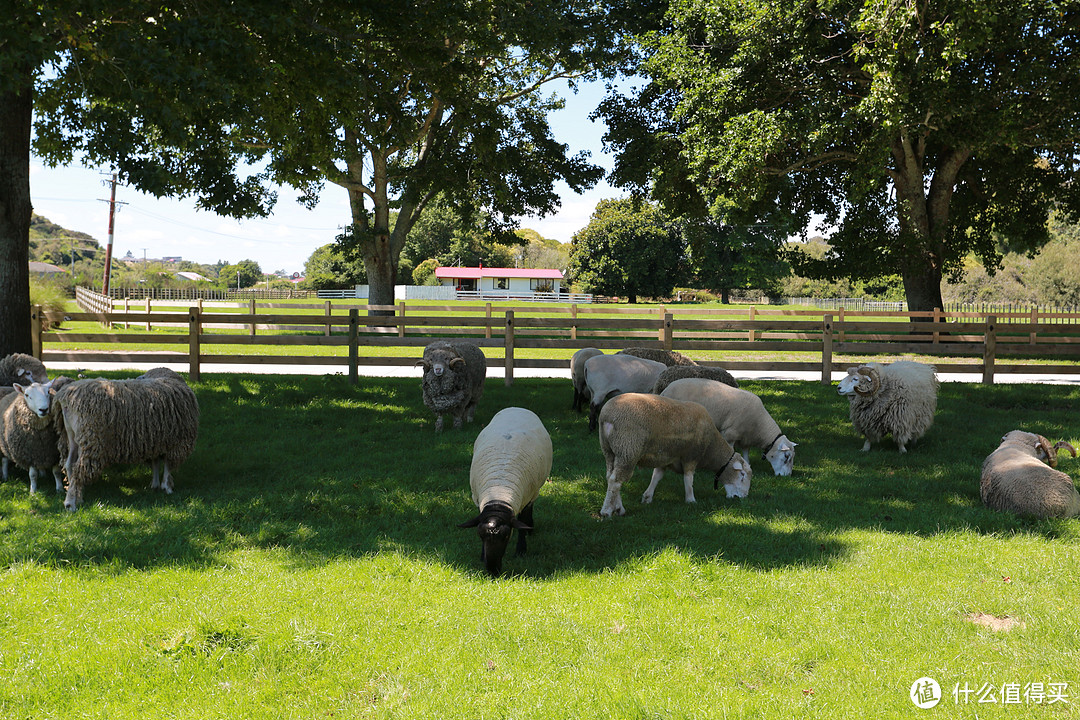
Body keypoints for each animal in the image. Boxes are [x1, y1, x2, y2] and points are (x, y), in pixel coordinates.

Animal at [50, 367, 199, 511]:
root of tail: (65, 397)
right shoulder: (176, 442)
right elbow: (168, 466)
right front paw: (167, 487)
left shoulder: (155, 440)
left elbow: (156, 462)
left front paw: (155, 485)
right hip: (91, 439)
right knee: (78, 468)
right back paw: (70, 503)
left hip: (70, 435)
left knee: (69, 464)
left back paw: (77, 497)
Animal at [457, 408, 552, 578]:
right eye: (480, 535)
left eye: (507, 536)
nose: (493, 571)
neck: (499, 491)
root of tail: (517, 408)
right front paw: (482, 556)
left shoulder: (526, 498)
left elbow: (522, 522)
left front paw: (521, 550)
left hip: (535, 491)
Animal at [596, 395, 756, 518]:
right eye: (742, 475)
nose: (742, 498)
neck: (710, 446)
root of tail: (606, 416)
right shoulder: (691, 456)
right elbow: (688, 479)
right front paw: (691, 500)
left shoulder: (665, 458)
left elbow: (656, 477)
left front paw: (647, 497)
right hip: (628, 449)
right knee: (616, 481)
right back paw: (607, 511)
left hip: (609, 451)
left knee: (610, 477)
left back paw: (618, 508)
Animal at [656, 377, 794, 479]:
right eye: (786, 457)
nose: (787, 476)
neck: (760, 425)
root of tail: (666, 389)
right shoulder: (730, 434)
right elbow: (731, 450)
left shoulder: (745, 438)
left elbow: (746, 453)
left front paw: (747, 465)